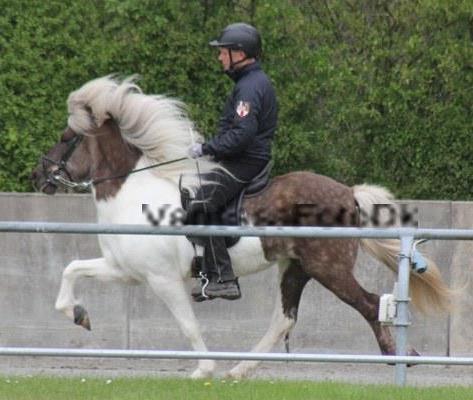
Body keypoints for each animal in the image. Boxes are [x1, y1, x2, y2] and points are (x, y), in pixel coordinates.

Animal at [31, 76, 452, 380]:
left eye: (66, 138)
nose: (39, 176)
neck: (133, 193)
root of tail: (348, 192)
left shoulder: (162, 279)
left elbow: (188, 325)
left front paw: (202, 371)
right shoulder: (125, 270)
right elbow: (71, 270)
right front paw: (78, 314)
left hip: (327, 268)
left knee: (368, 304)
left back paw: (401, 357)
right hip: (295, 268)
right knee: (284, 319)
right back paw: (239, 370)